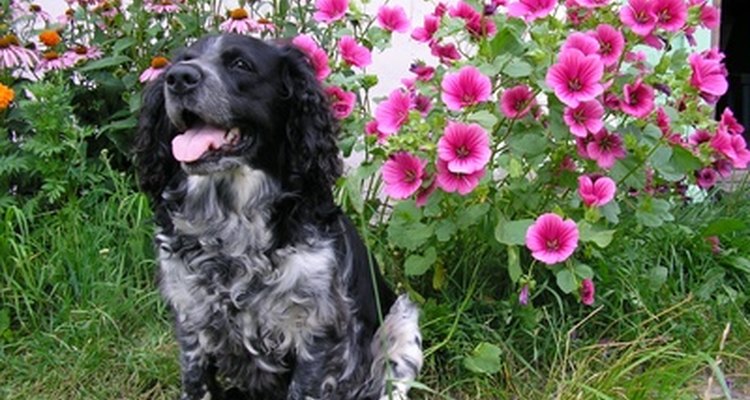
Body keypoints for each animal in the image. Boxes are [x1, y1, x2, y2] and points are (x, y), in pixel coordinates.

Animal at [134, 34, 424, 400]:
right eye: (180, 62)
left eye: (240, 64)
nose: (179, 78)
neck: (232, 223)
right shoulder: (191, 320)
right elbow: (196, 382)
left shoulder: (316, 330)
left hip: (403, 325)